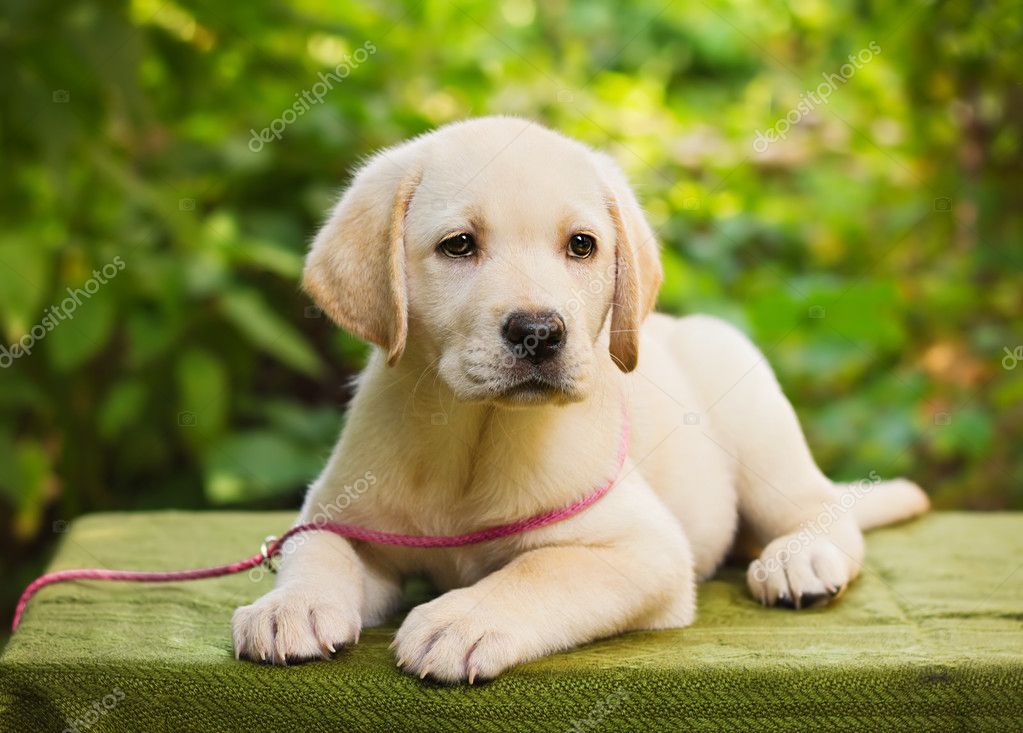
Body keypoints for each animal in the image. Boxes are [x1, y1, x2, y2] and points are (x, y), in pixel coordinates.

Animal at [230, 114, 928, 678]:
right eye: (459, 245)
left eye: (582, 245)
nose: (540, 332)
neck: (476, 434)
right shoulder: (341, 513)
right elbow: (316, 548)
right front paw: (289, 607)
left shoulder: (643, 549)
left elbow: (540, 569)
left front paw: (462, 619)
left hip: (756, 419)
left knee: (822, 507)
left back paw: (799, 558)